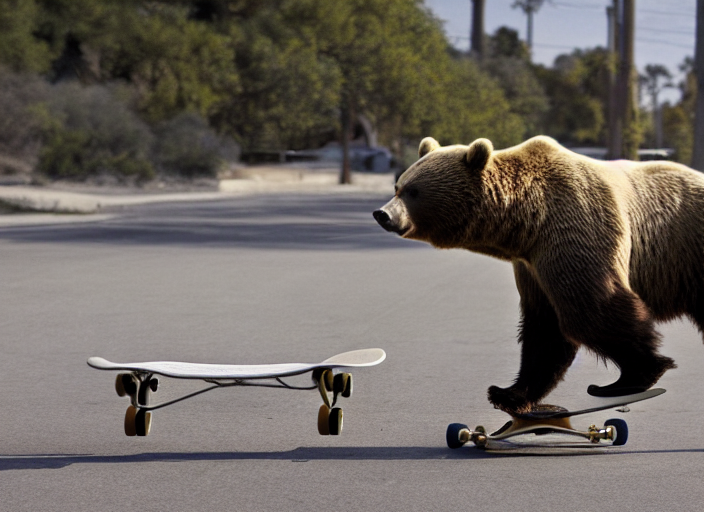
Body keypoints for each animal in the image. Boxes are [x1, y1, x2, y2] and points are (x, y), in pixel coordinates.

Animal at [373, 135, 704, 413]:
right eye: (398, 186)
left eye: (414, 191)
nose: (382, 214)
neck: (526, 224)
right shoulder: (533, 266)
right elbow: (544, 328)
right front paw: (508, 393)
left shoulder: (576, 228)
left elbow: (591, 312)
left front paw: (632, 375)